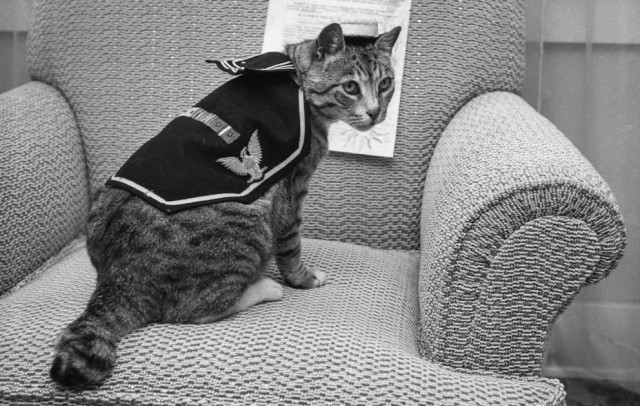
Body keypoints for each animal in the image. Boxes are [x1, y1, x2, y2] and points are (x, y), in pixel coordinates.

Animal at [50, 23, 400, 386]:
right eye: (350, 87)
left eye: (385, 84)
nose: (376, 112)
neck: (296, 78)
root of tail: (116, 281)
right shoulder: (293, 188)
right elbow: (291, 247)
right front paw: (302, 278)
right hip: (248, 224)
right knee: (194, 310)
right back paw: (265, 288)